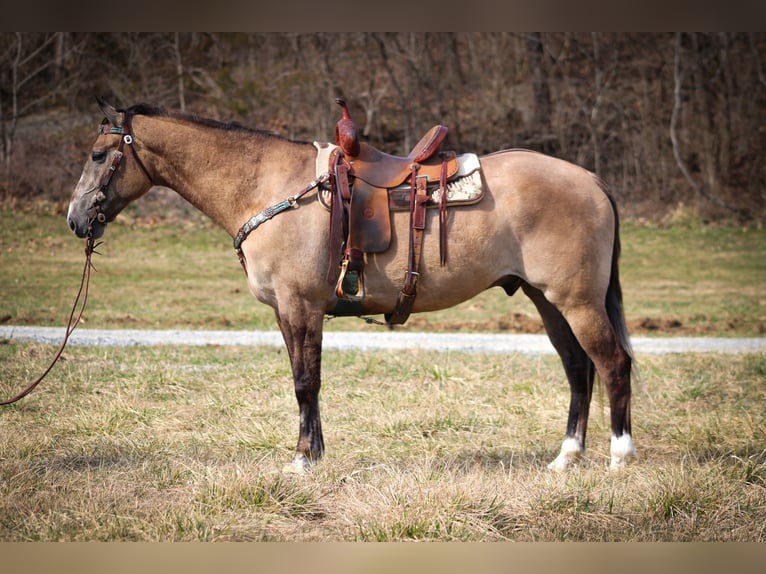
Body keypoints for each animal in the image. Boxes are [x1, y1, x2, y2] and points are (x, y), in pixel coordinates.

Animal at [67, 99, 640, 474]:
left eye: (98, 155)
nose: (75, 219)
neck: (270, 186)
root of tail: (591, 181)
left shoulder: (300, 306)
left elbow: (305, 382)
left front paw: (301, 461)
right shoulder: (289, 312)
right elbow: (306, 380)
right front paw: (314, 454)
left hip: (577, 301)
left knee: (612, 363)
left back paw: (620, 456)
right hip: (547, 301)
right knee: (578, 368)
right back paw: (566, 458)